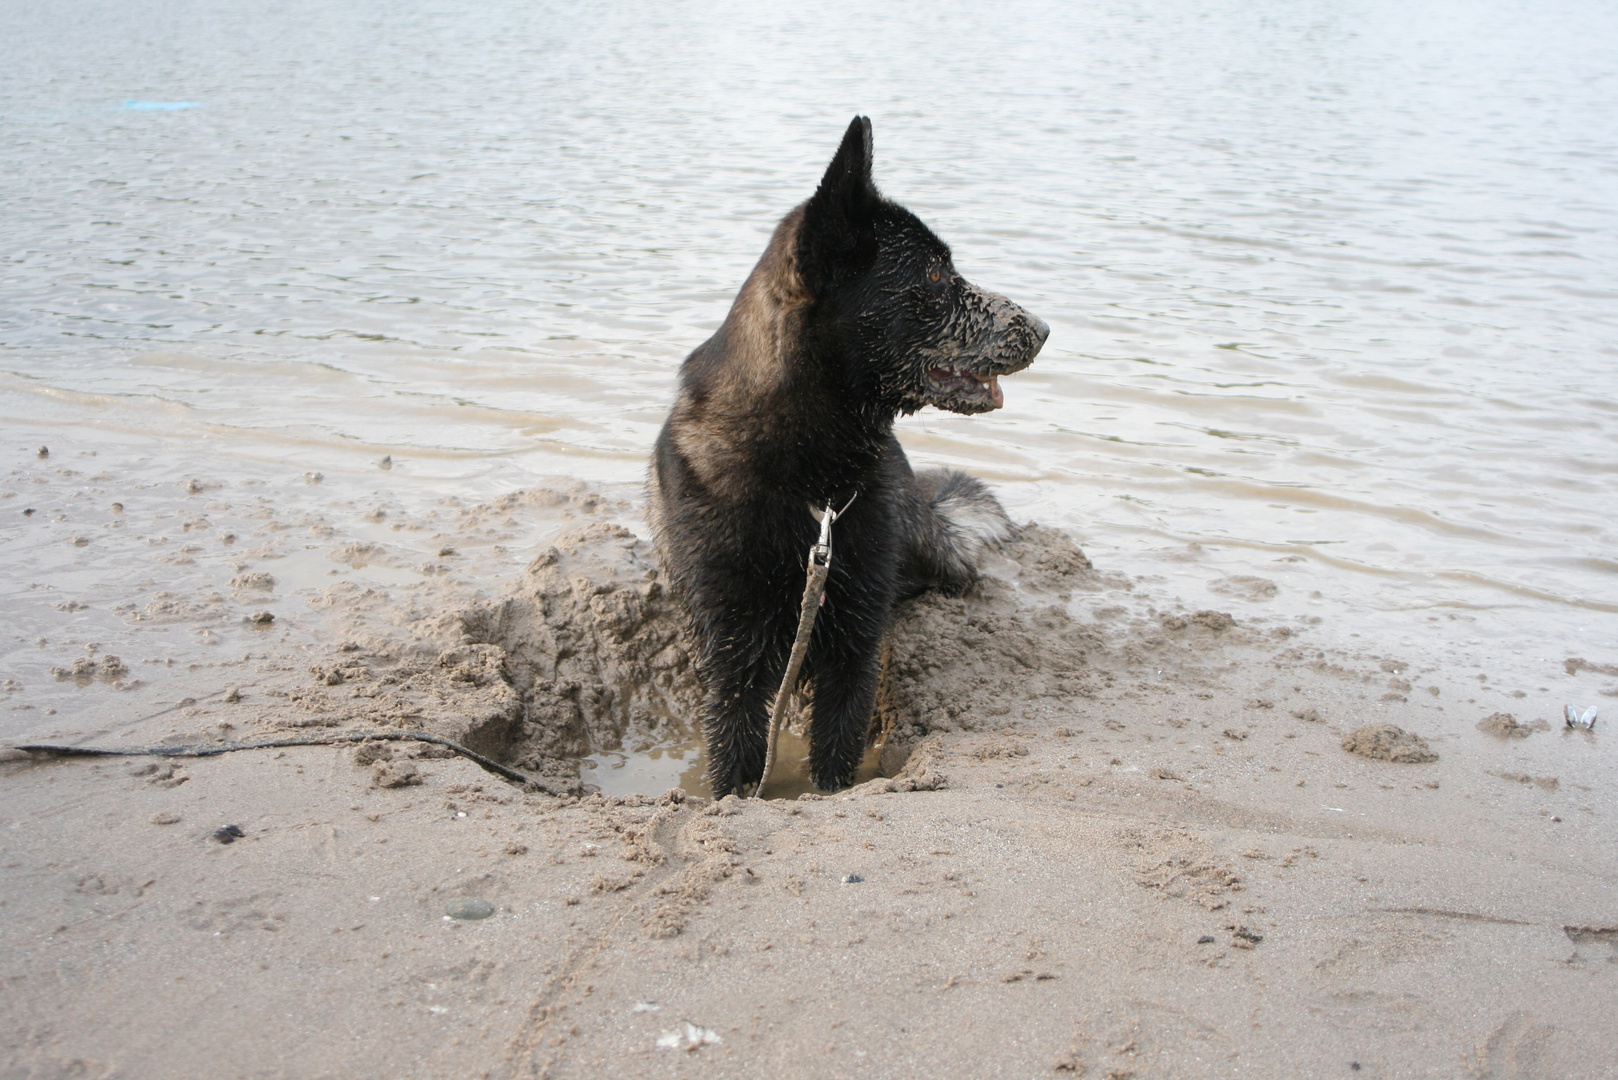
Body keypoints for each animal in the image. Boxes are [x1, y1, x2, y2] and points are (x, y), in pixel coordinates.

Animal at [647, 118, 1048, 799]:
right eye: (935, 276)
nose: (1044, 330)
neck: (813, 486)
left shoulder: (853, 651)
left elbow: (837, 757)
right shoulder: (732, 667)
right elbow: (733, 763)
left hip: (932, 554)